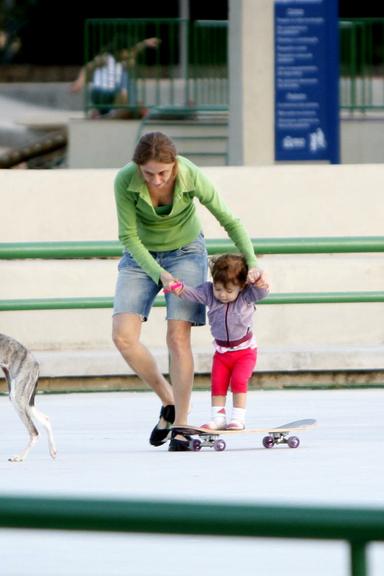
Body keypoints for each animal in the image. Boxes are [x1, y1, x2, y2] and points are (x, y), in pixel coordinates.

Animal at [0, 330, 56, 462]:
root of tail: (35, 363)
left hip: (18, 398)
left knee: (34, 432)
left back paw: (20, 457)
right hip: (22, 400)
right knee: (45, 419)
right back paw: (52, 451)